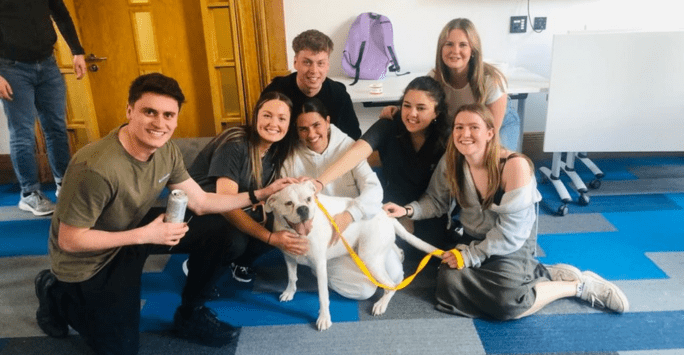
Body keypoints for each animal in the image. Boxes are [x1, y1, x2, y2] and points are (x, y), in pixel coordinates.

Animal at [264, 182, 438, 332]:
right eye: (288, 203)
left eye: (308, 199)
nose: (303, 209)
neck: (298, 234)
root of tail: (384, 212)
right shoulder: (289, 258)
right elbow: (292, 277)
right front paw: (290, 292)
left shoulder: (320, 265)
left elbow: (322, 295)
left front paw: (324, 318)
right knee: (395, 254)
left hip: (369, 258)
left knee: (391, 285)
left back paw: (381, 304)